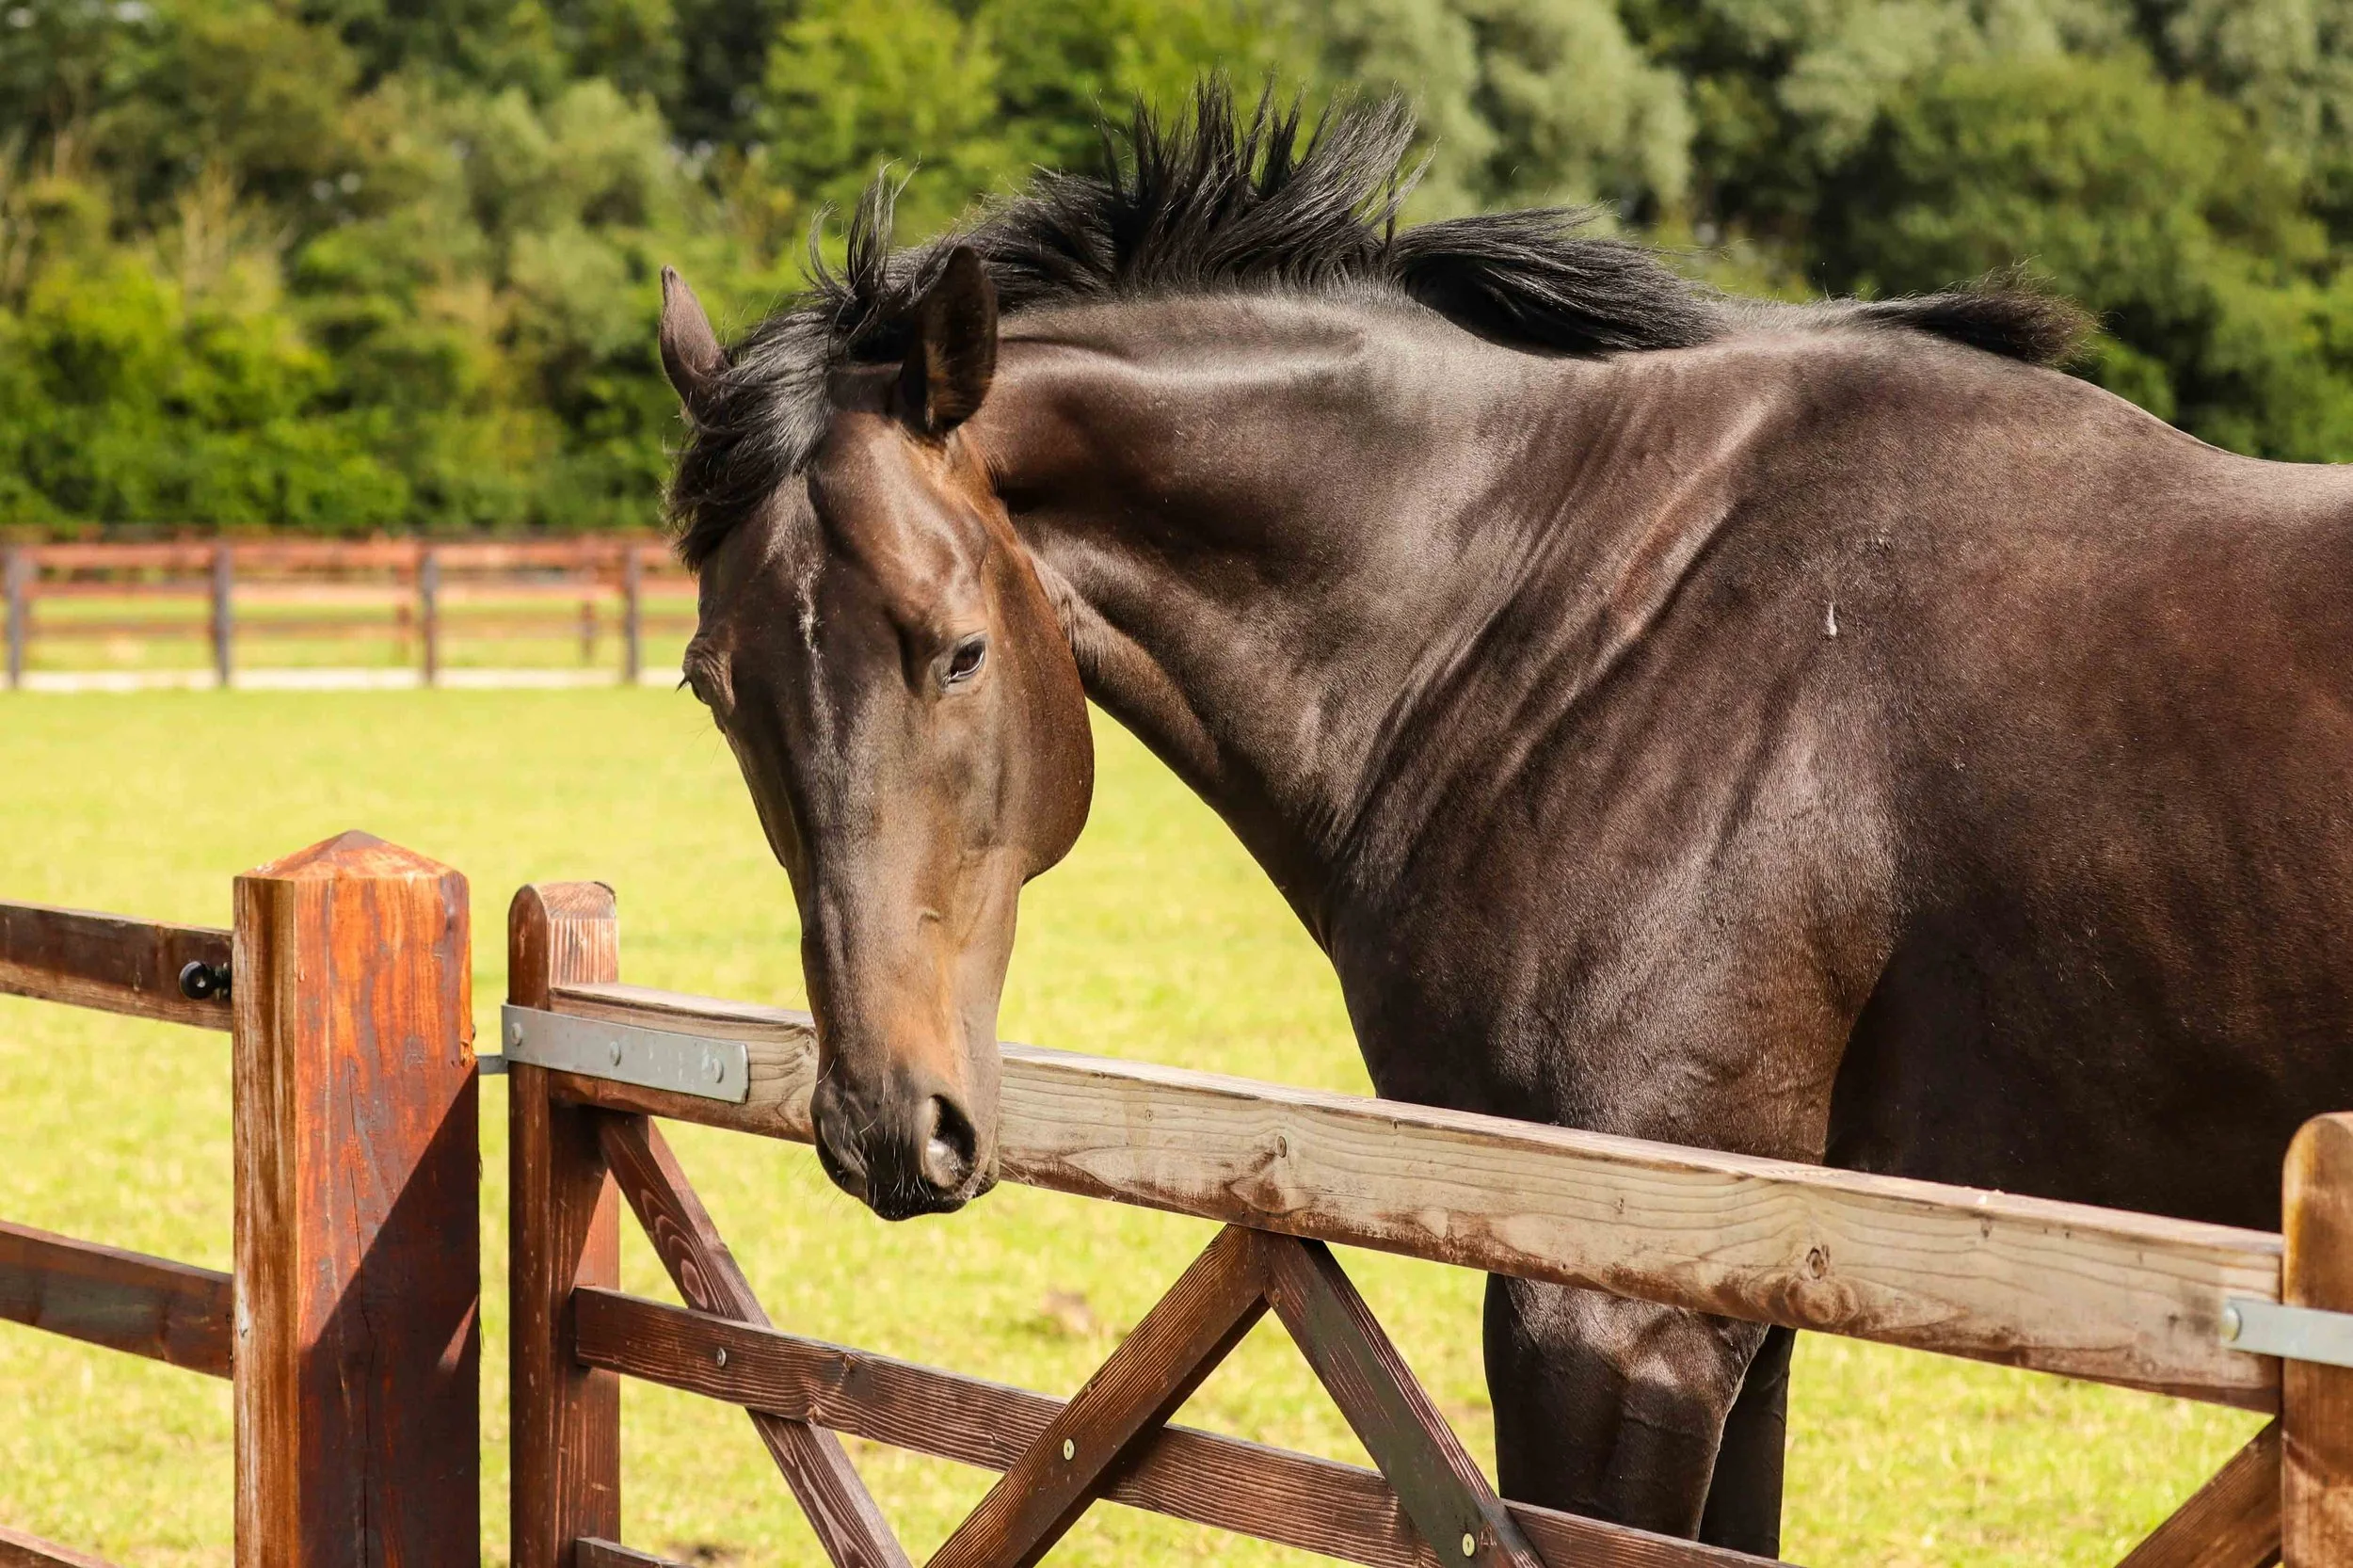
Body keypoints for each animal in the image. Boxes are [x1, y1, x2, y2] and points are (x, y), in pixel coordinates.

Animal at [656, 87, 2353, 1555]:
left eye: (954, 649)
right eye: (708, 686)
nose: (891, 1125)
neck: (1587, 598)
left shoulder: (1612, 1308)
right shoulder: (1758, 1281)